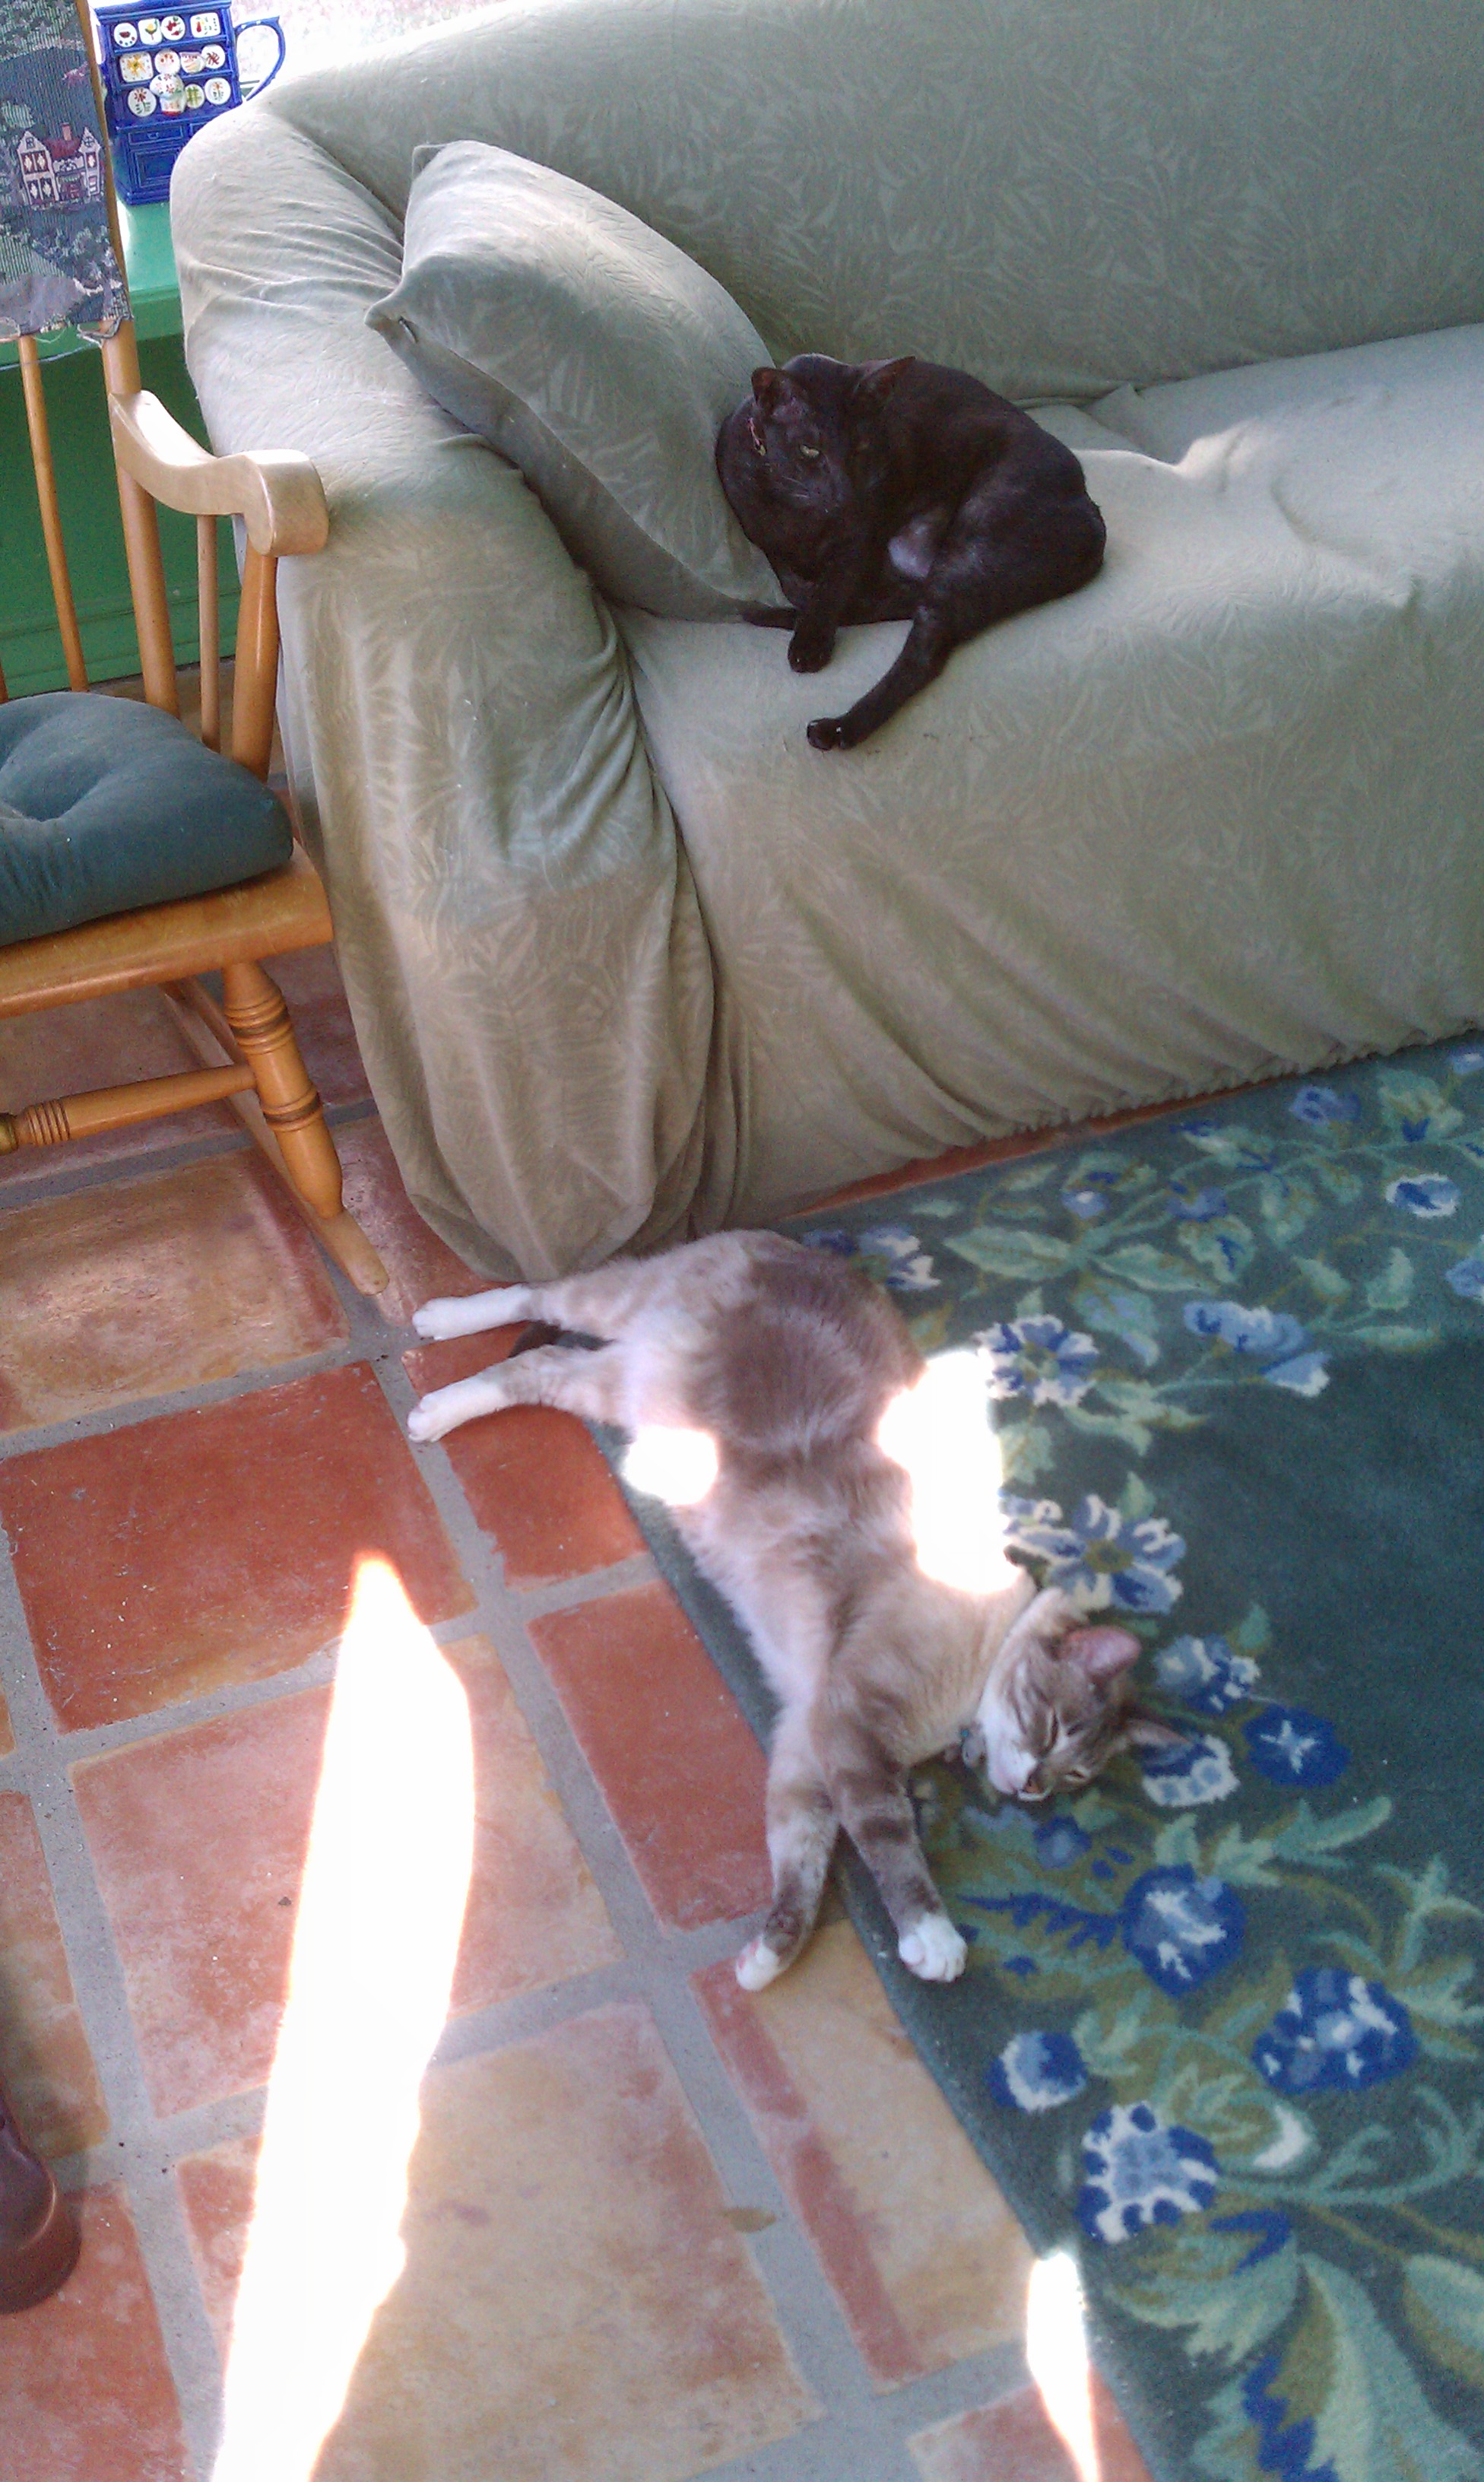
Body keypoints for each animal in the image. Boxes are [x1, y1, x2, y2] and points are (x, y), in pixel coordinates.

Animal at [407, 1231, 1177, 1990]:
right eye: (1052, 1729)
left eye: (1078, 1773)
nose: (1035, 1791)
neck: (960, 1703)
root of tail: (800, 1245)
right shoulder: (851, 1727)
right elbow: (890, 1838)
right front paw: (934, 1941)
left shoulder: (808, 1745)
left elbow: (800, 1862)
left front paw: (764, 1962)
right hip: (613, 1310)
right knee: (537, 1301)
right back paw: (432, 1361)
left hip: (616, 1387)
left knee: (540, 1360)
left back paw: (437, 1384)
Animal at [715, 352, 1106, 750]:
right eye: (810, 449)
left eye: (861, 449)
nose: (845, 496)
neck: (799, 510)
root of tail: (1090, 508)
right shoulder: (769, 543)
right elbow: (798, 583)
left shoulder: (858, 538)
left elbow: (830, 589)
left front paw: (811, 642)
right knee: (895, 607)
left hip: (974, 542)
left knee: (924, 655)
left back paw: (837, 728)